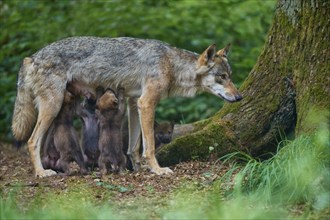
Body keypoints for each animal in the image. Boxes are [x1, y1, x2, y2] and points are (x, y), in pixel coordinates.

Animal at [11, 36, 242, 177]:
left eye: (230, 76)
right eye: (222, 77)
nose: (239, 97)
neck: (170, 64)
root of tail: (30, 57)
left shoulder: (133, 104)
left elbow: (134, 146)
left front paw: (138, 168)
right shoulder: (146, 104)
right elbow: (149, 147)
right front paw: (157, 170)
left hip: (53, 110)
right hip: (53, 106)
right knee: (31, 141)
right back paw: (42, 173)